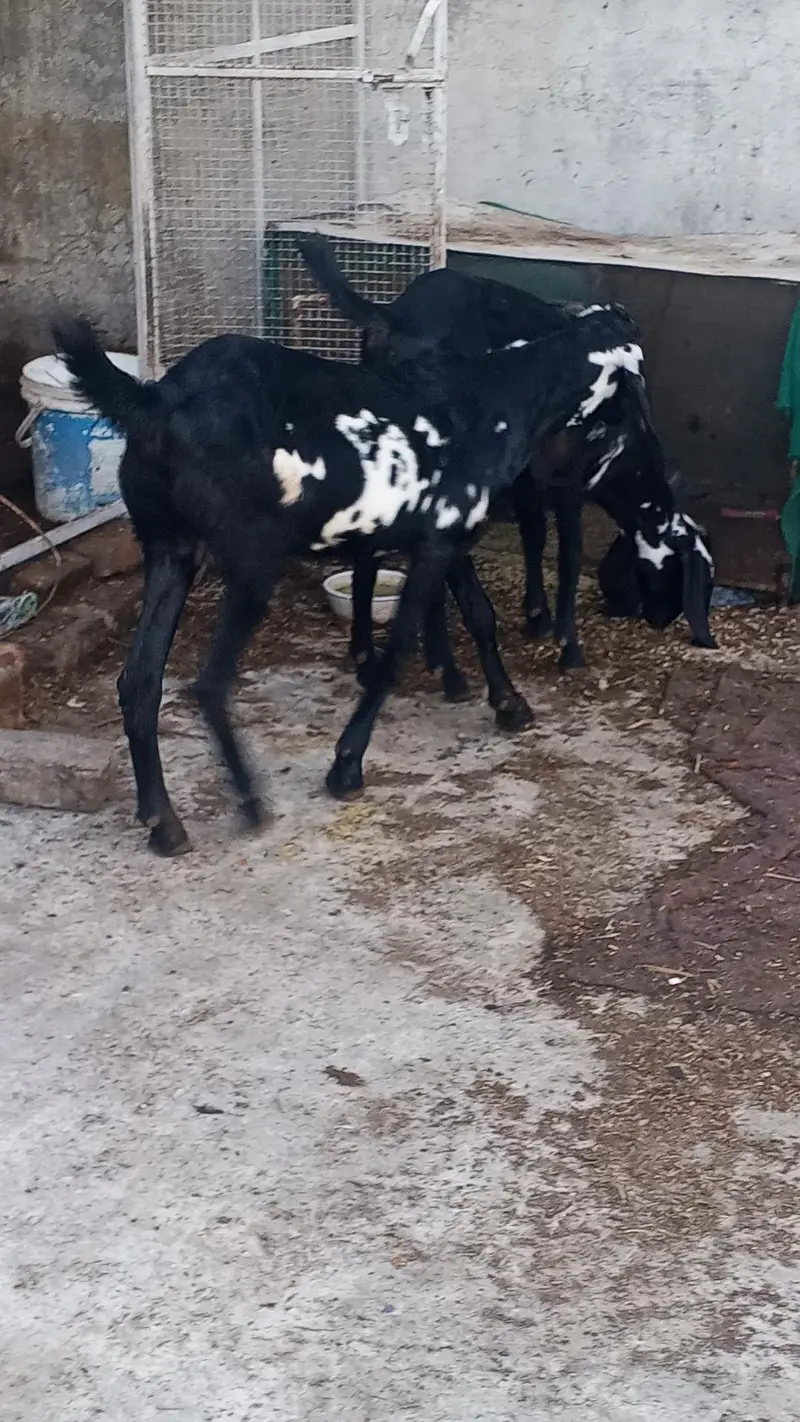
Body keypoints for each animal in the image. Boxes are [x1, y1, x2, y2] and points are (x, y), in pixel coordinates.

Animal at [54, 309, 645, 857]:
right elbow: (398, 646)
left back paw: (164, 822)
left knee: (139, 681)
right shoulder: (437, 544)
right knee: (208, 682)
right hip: (252, 558)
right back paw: (249, 801)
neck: (502, 395)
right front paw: (346, 766)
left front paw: (509, 703)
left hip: (169, 549)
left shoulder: (446, 537)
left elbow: (480, 615)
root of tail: (159, 400)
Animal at [297, 235, 717, 670]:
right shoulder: (570, 479)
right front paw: (568, 644)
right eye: (689, 579)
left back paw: (368, 648)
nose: (661, 619)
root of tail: (394, 315)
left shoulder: (529, 479)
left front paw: (538, 616)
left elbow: (533, 535)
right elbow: (569, 553)